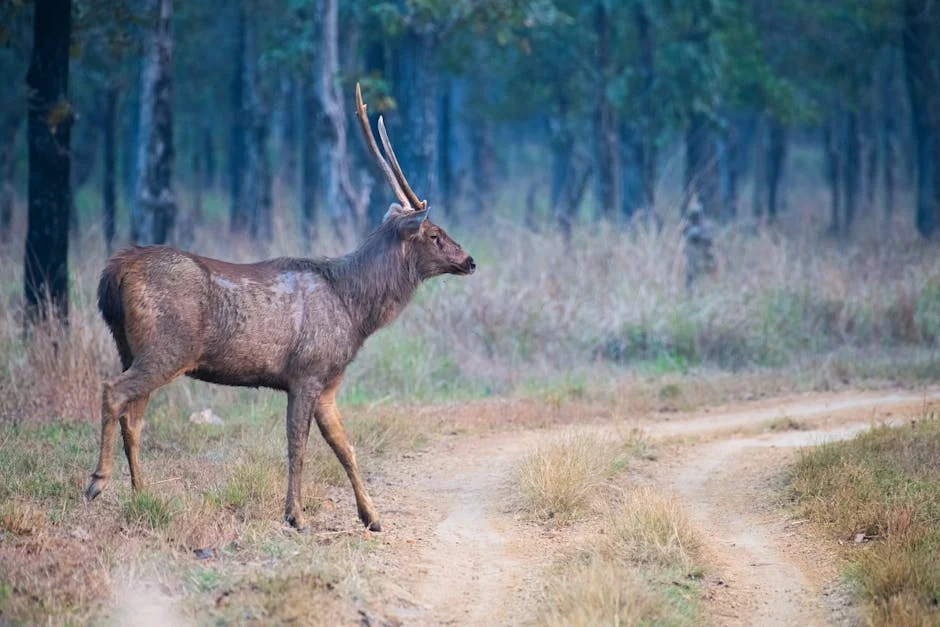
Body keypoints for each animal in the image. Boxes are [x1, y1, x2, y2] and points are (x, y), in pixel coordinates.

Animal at [84, 84, 476, 532]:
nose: (470, 261)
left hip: (130, 345)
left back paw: (143, 493)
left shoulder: (328, 382)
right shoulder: (307, 369)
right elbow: (298, 445)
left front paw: (372, 517)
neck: (355, 310)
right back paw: (97, 482)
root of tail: (114, 271)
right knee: (114, 392)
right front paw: (296, 515)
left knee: (133, 416)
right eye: (434, 234)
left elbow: (345, 447)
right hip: (166, 346)